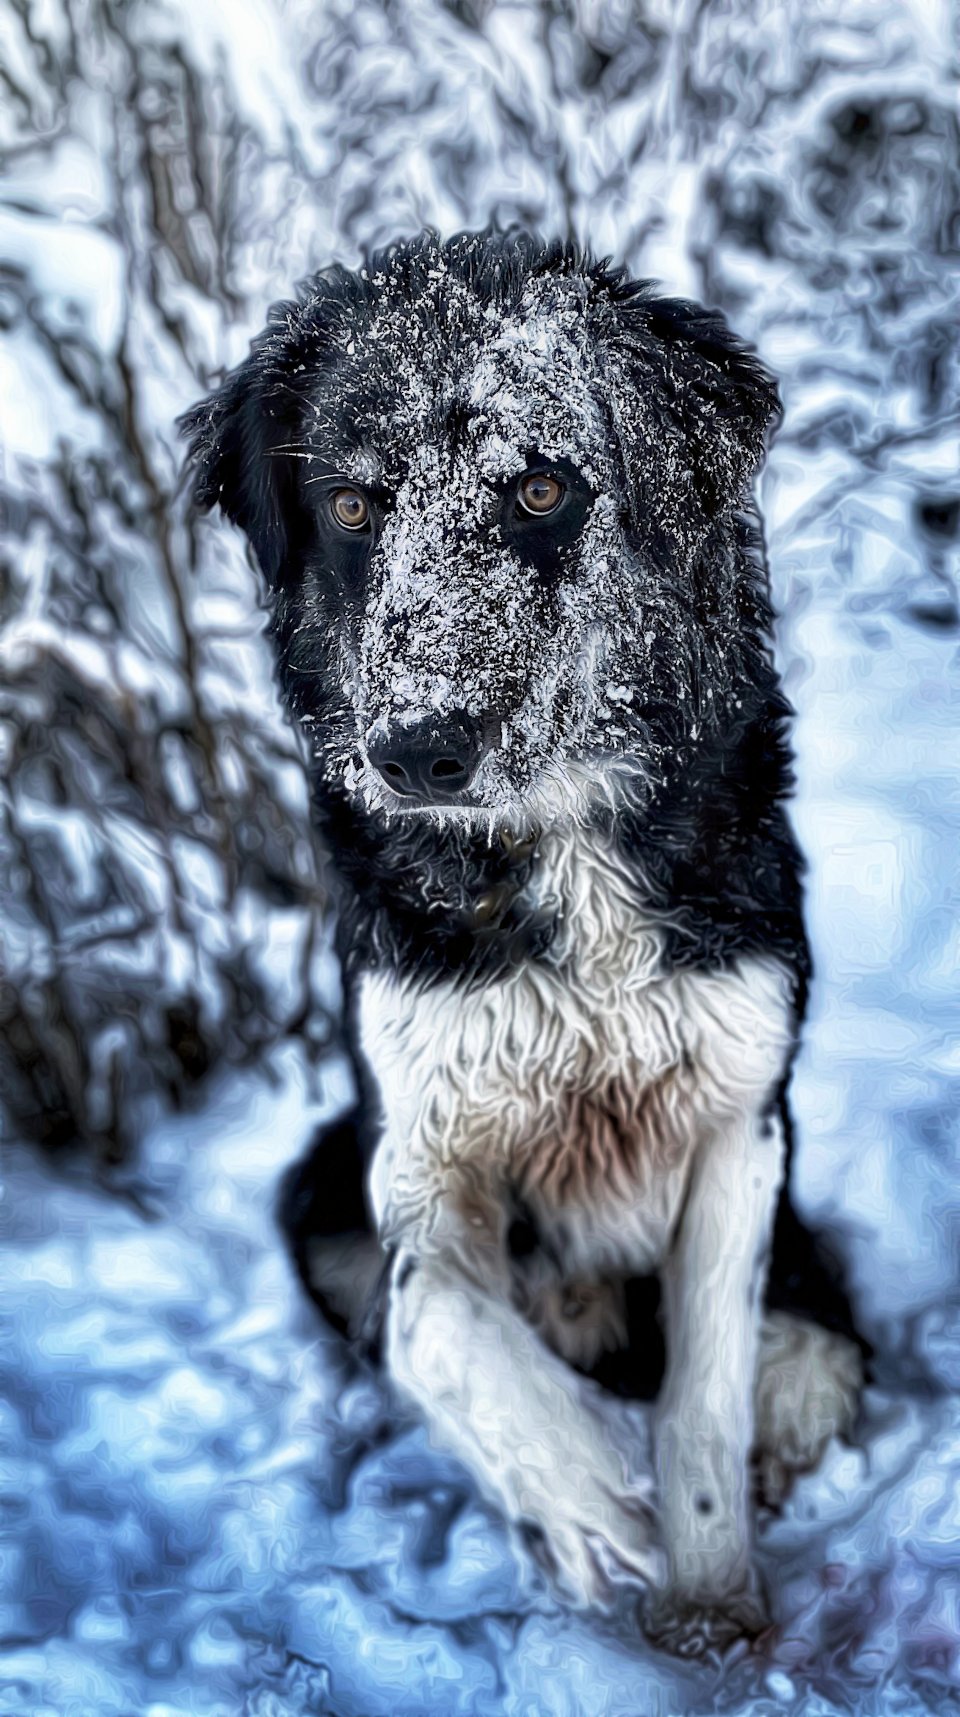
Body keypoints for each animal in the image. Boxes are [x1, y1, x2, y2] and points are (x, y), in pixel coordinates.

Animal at [182, 228, 865, 1656]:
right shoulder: (418, 1135)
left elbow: (704, 1395)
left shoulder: (742, 1118)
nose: (417, 753)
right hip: (314, 1175)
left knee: (814, 1359)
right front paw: (584, 1488)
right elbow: (437, 1324)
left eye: (544, 487)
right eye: (353, 508)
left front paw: (706, 1607)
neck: (557, 849)